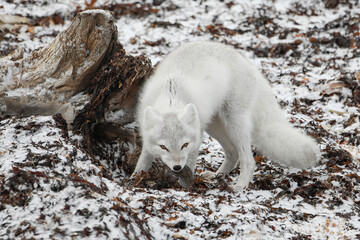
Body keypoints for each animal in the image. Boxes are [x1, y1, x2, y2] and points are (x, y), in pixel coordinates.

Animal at [132, 41, 320, 191]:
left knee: (248, 160)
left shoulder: (196, 139)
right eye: (163, 147)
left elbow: (190, 164)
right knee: (232, 153)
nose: (177, 167)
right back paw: (218, 176)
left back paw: (239, 186)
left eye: (184, 145)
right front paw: (134, 179)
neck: (171, 97)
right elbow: (143, 160)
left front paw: (185, 185)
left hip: (233, 122)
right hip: (214, 126)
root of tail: (248, 64)